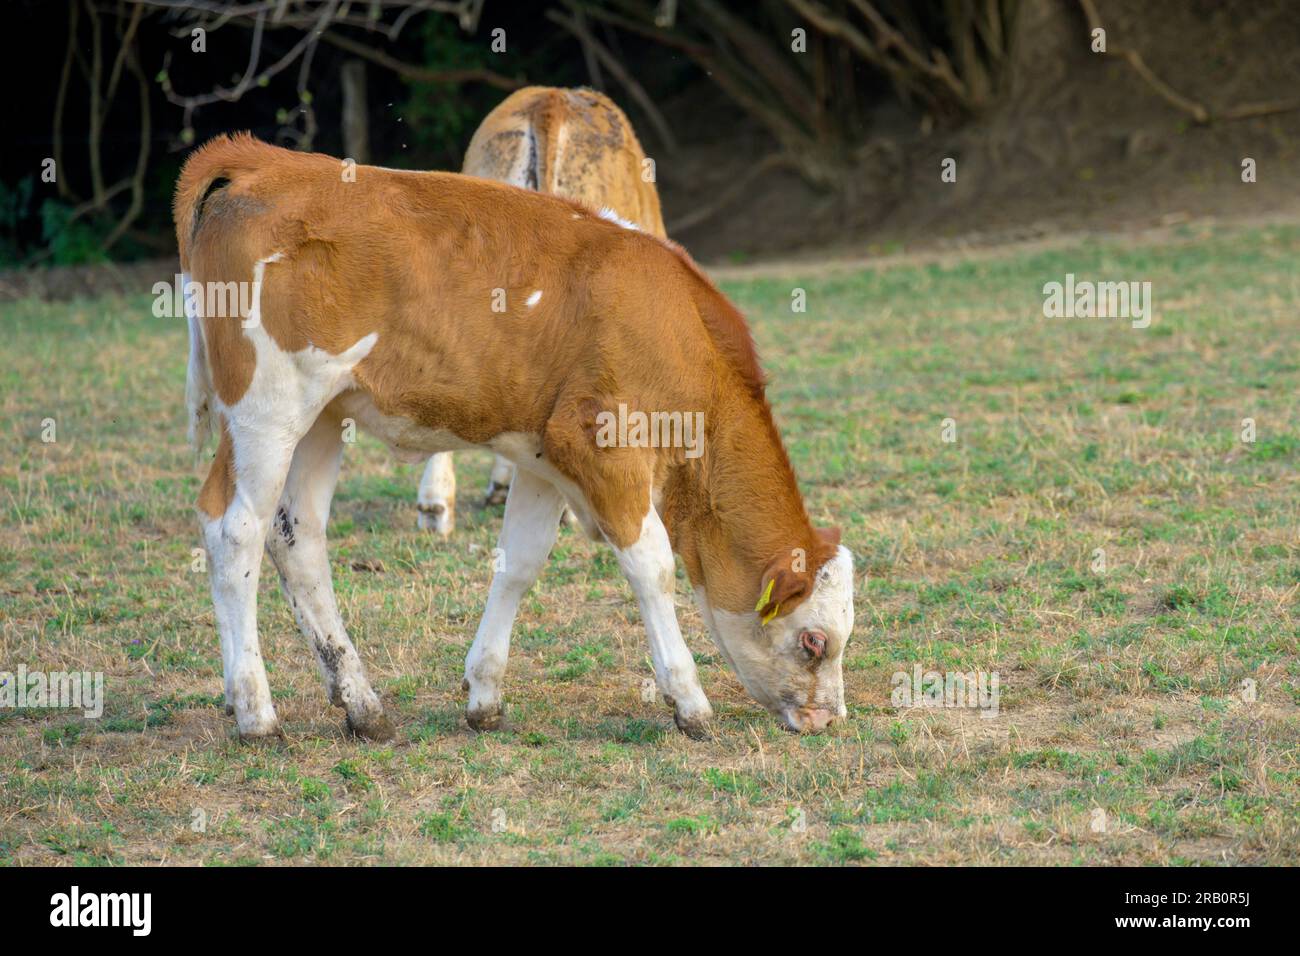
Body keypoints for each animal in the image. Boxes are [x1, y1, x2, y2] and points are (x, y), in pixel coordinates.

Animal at [175, 133, 854, 741]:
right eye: (814, 641)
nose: (826, 720)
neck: (677, 330)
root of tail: (258, 160)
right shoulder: (604, 449)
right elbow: (653, 568)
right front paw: (690, 701)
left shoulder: (543, 457)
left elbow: (520, 563)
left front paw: (485, 695)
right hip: (266, 412)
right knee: (234, 531)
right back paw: (255, 713)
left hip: (322, 416)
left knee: (298, 539)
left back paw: (362, 707)